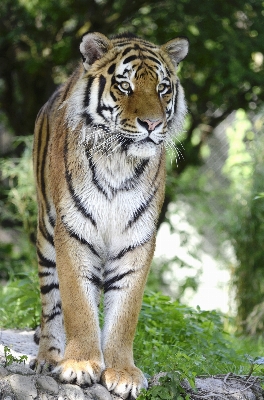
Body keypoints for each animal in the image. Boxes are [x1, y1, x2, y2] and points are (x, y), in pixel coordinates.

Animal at [31, 32, 188, 400]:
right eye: (125, 85)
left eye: (162, 88)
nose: (152, 124)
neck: (119, 160)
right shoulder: (73, 232)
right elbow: (77, 304)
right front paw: (79, 364)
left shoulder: (137, 239)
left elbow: (125, 313)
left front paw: (122, 372)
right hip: (46, 232)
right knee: (51, 303)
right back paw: (49, 358)